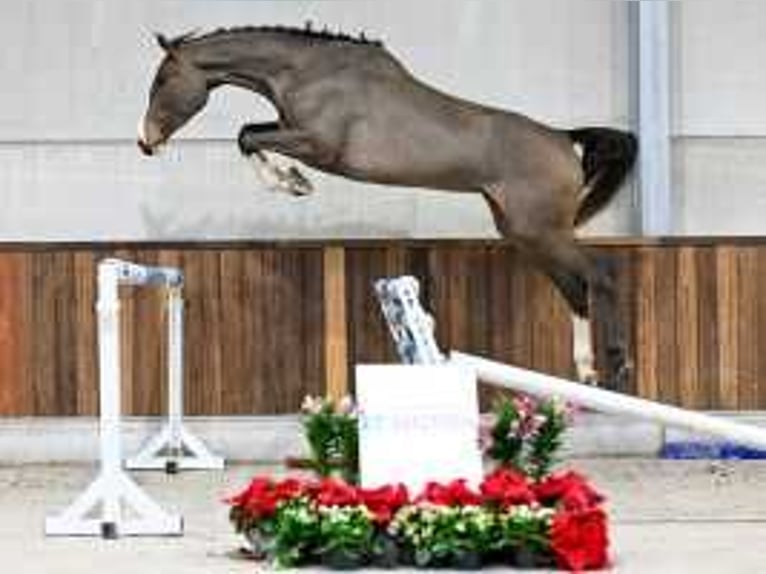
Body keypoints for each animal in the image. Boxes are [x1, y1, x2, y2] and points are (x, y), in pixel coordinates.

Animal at [140, 25, 640, 388]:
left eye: (163, 80)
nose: (146, 143)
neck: (305, 72)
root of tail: (564, 139)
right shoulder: (292, 132)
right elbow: (249, 133)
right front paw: (292, 182)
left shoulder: (319, 146)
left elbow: (247, 136)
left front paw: (293, 183)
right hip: (523, 231)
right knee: (576, 289)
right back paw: (586, 370)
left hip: (543, 230)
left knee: (600, 276)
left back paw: (618, 368)